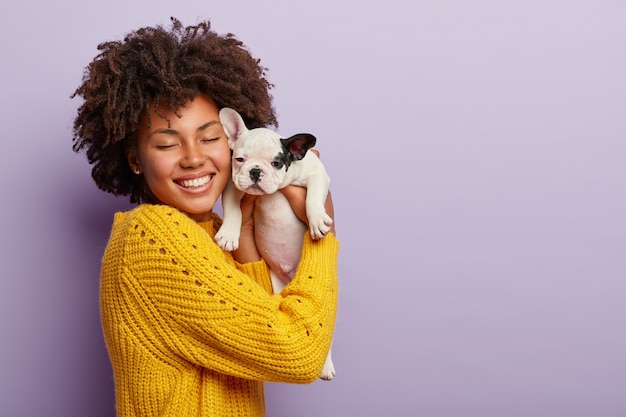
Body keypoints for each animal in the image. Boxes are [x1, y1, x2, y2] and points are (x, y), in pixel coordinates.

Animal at [213, 107, 334, 380]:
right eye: (239, 159)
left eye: (277, 163)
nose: (255, 171)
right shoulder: (233, 184)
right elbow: (234, 209)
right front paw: (229, 234)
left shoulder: (316, 174)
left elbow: (312, 198)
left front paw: (316, 220)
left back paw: (326, 365)